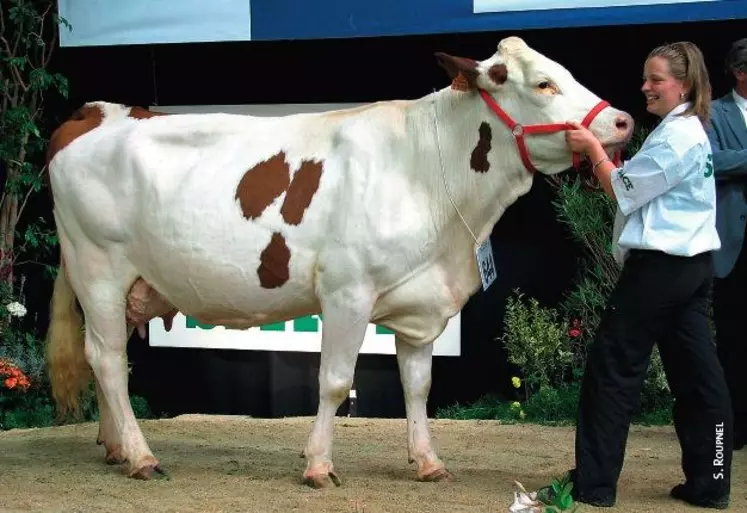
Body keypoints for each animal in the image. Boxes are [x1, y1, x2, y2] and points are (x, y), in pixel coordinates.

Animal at [43, 37, 636, 488]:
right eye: (543, 84)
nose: (623, 121)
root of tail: (92, 113)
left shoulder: (421, 300)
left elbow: (418, 385)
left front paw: (428, 462)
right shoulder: (348, 291)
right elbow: (333, 380)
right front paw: (318, 465)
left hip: (124, 282)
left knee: (109, 361)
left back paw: (115, 448)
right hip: (98, 267)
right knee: (108, 359)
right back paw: (142, 456)